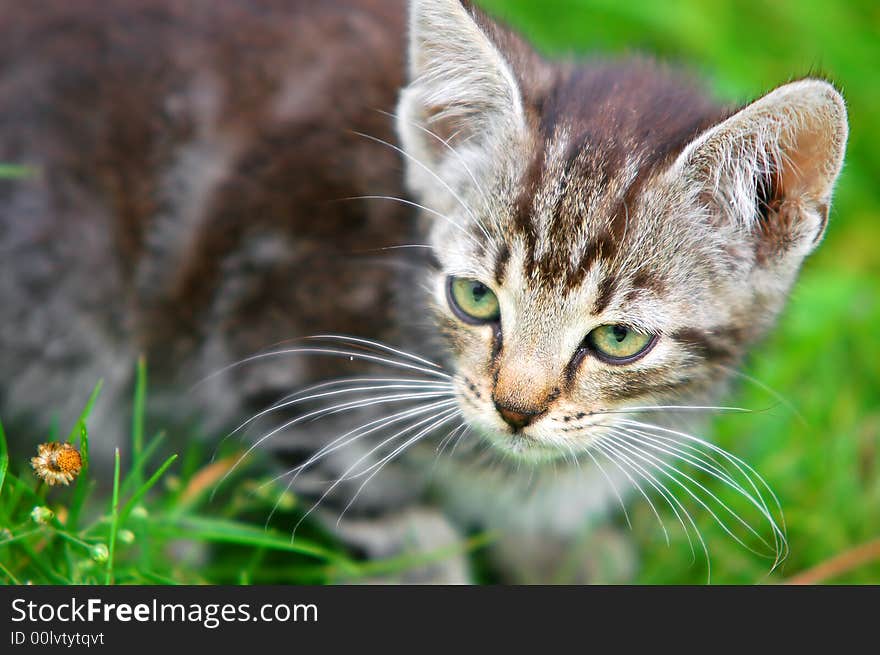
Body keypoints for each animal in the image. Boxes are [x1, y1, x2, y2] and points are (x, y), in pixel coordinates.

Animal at [1, 0, 852, 584]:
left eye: (618, 338)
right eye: (474, 297)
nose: (515, 408)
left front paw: (560, 556)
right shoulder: (285, 361)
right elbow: (394, 524)